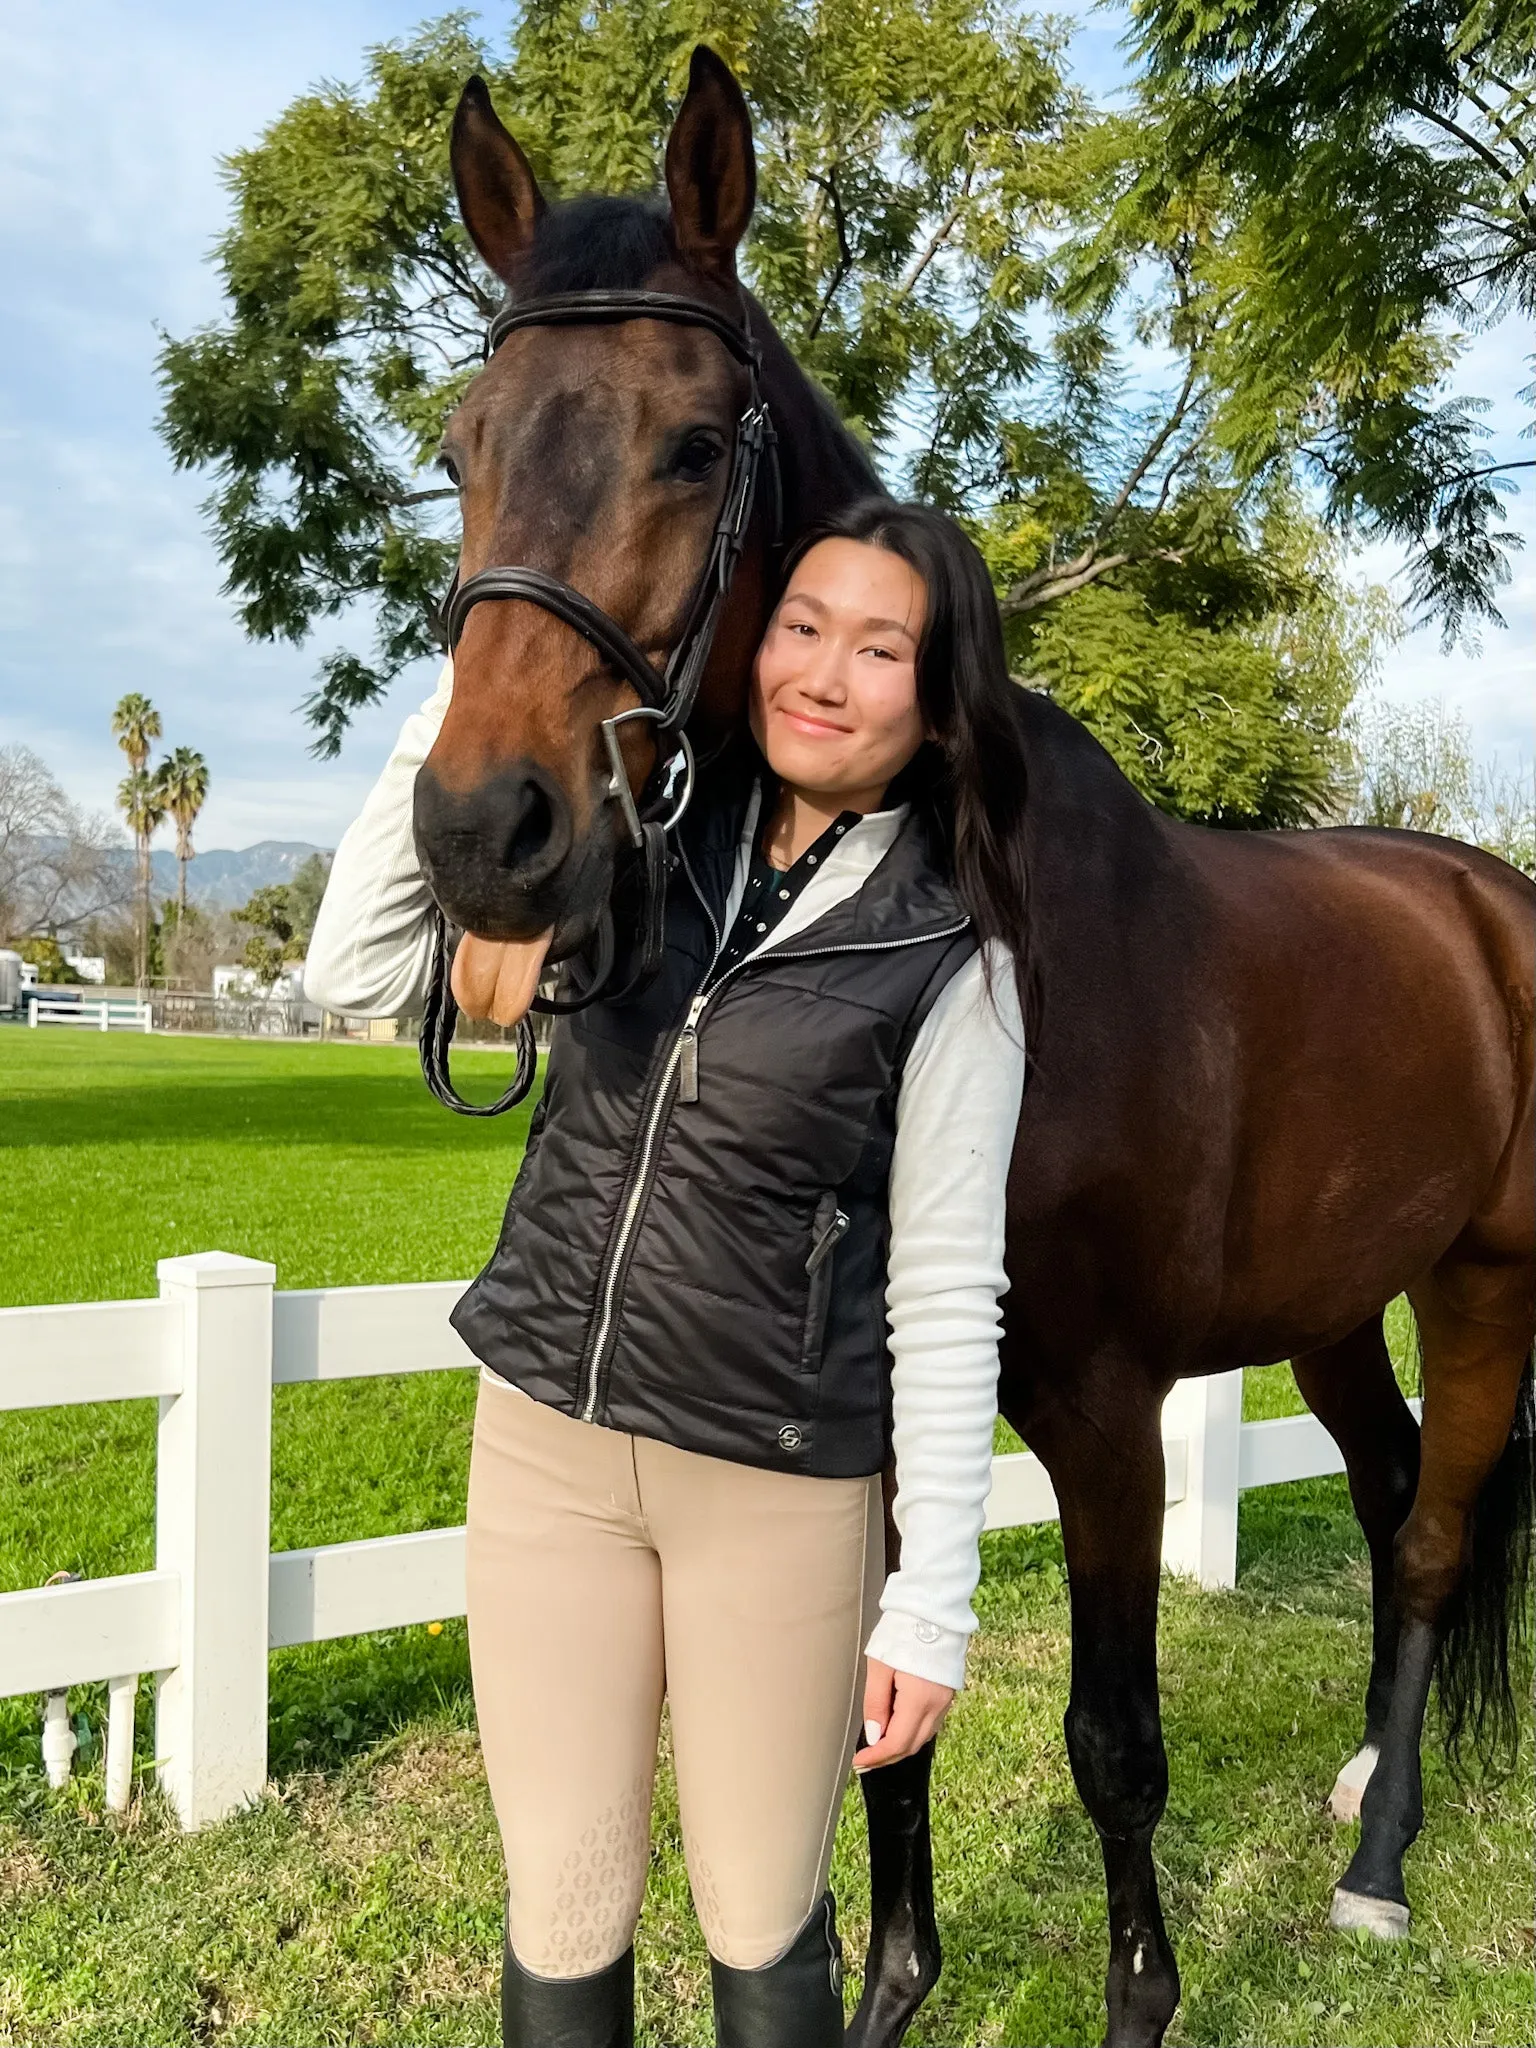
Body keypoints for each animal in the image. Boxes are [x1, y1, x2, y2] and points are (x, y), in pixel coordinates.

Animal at [421, 48, 1536, 2048]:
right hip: (1343, 1301)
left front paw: (1140, 2000)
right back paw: (1361, 1783)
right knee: (1396, 1483)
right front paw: (890, 1992)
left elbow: (1113, 1744)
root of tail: (1489, 903)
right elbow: (872, 1729)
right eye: (464, 446)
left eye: (691, 444)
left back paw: (1377, 1863)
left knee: (1429, 1536)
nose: (486, 832)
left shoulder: (1100, 1412)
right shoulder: (873, 1419)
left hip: (1487, 1284)